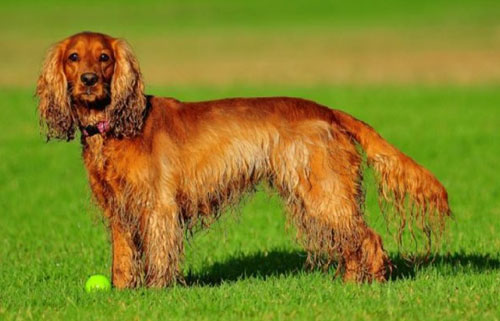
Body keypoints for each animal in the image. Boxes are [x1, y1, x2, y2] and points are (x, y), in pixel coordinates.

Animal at [35, 31, 450, 288]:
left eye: (104, 57)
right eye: (74, 57)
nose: (89, 79)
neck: (115, 126)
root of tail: (329, 111)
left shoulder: (158, 207)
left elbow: (159, 254)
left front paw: (156, 291)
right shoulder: (118, 210)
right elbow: (122, 259)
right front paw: (122, 292)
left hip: (324, 190)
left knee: (368, 237)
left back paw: (371, 285)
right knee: (351, 241)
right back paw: (349, 284)